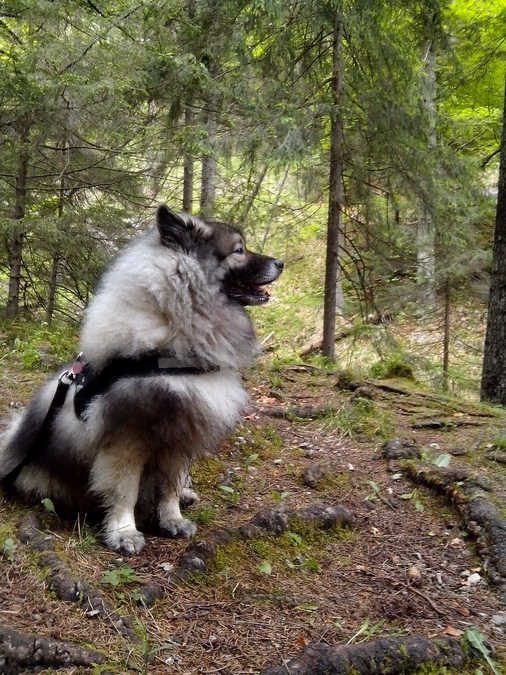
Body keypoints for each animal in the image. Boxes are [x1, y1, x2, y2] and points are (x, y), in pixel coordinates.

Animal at [0, 207, 282, 556]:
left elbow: (170, 486)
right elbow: (125, 489)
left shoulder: (179, 436)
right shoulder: (127, 438)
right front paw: (124, 532)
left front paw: (172, 519)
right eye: (239, 250)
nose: (281, 263)